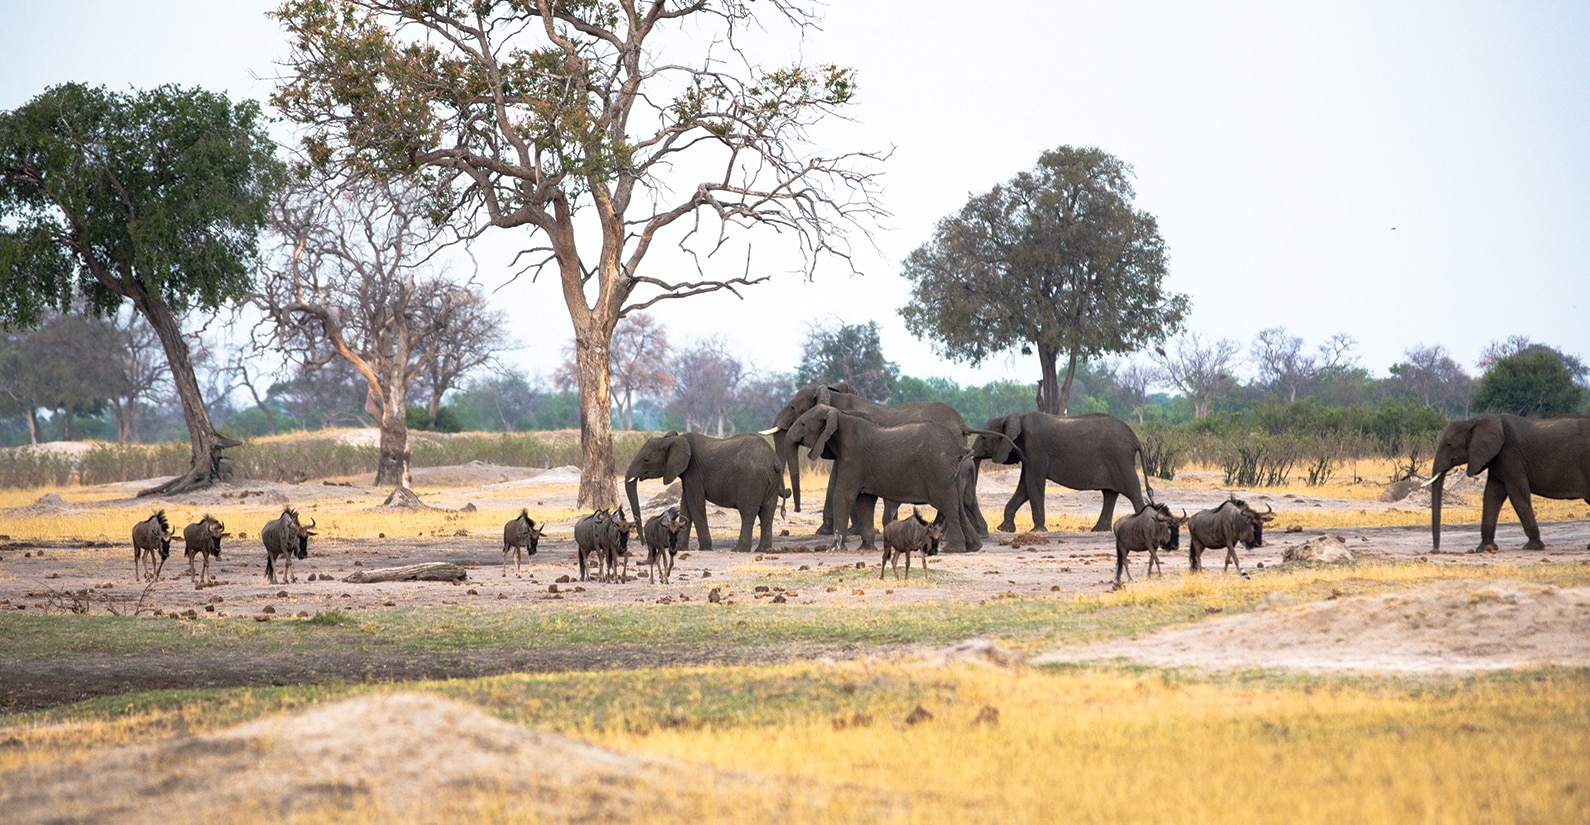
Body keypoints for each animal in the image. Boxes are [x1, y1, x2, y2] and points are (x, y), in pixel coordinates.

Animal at [625, 430, 784, 553]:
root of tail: (774, 461)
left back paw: (739, 550)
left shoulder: (693, 471)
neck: (671, 439)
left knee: (748, 513)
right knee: (767, 513)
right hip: (771, 482)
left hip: (752, 480)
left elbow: (695, 504)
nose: (643, 543)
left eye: (646, 460)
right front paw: (680, 548)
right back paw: (762, 550)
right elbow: (685, 505)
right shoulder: (688, 474)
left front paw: (705, 548)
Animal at [783, 404, 982, 553]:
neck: (839, 414)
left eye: (802, 423)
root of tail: (958, 446)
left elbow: (844, 496)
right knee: (957, 505)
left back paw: (953, 549)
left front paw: (835, 549)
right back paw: (974, 547)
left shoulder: (853, 459)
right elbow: (865, 501)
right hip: (950, 472)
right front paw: (866, 549)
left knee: (947, 505)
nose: (793, 510)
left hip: (938, 470)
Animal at [972, 411, 1153, 533]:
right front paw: (1004, 529)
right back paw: (1099, 530)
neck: (1016, 418)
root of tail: (1135, 439)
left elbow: (1032, 484)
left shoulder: (1035, 449)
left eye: (984, 438)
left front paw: (1037, 531)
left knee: (1132, 490)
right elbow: (1024, 487)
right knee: (1110, 493)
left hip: (1120, 458)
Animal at [1428, 413, 1590, 551]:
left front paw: (1533, 547)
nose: (1436, 550)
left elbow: (1517, 495)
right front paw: (1486, 549)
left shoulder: (1511, 455)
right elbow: (1491, 495)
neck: (1474, 421)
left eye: (1449, 444)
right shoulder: (1497, 459)